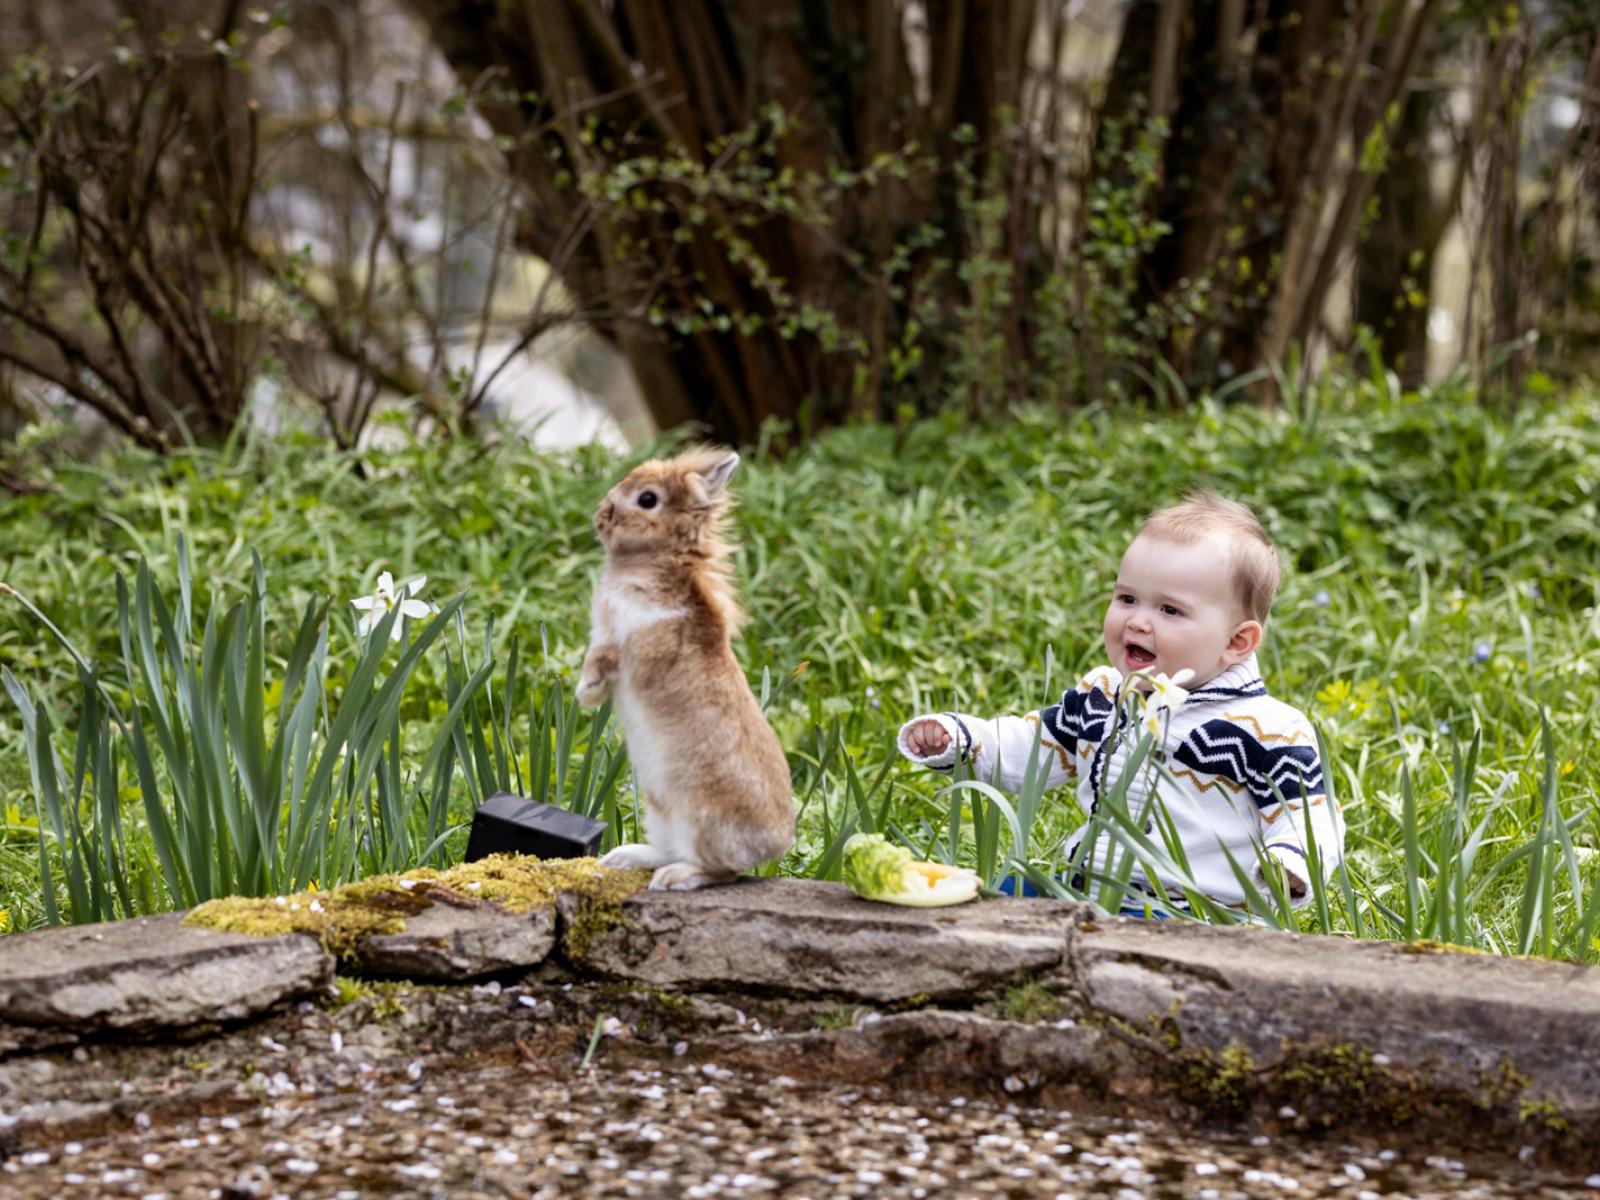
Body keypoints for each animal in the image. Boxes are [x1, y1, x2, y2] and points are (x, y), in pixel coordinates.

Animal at [582, 451, 793, 896]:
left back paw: (672, 879)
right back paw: (624, 858)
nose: (601, 515)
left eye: (647, 499)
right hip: (660, 813)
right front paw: (586, 696)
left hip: (699, 819)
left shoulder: (630, 642)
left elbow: (608, 658)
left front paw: (586, 689)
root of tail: (775, 843)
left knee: (721, 871)